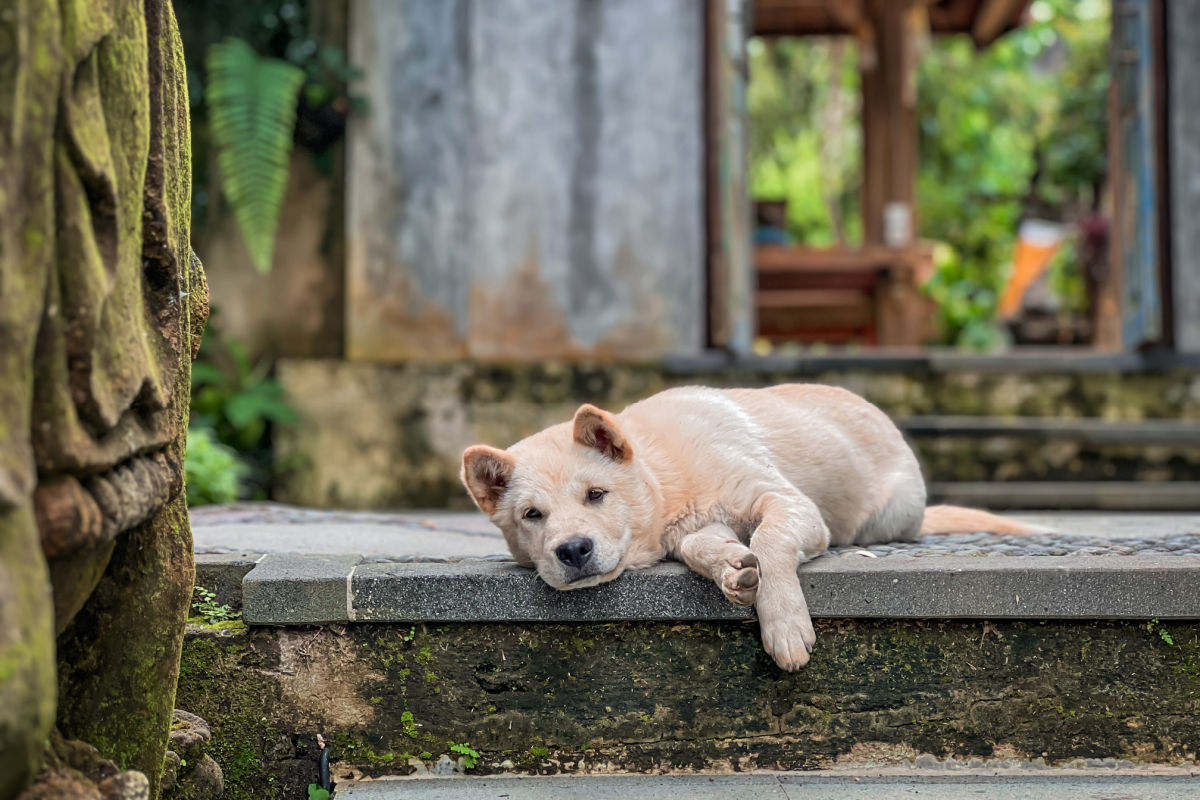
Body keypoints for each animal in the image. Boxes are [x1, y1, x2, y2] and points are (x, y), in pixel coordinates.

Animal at [458, 383, 1032, 671]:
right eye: (532, 515)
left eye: (596, 495)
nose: (573, 550)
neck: (665, 468)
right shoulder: (696, 525)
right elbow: (701, 546)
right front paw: (732, 570)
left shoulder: (790, 504)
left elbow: (770, 538)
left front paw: (784, 624)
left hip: (882, 517)